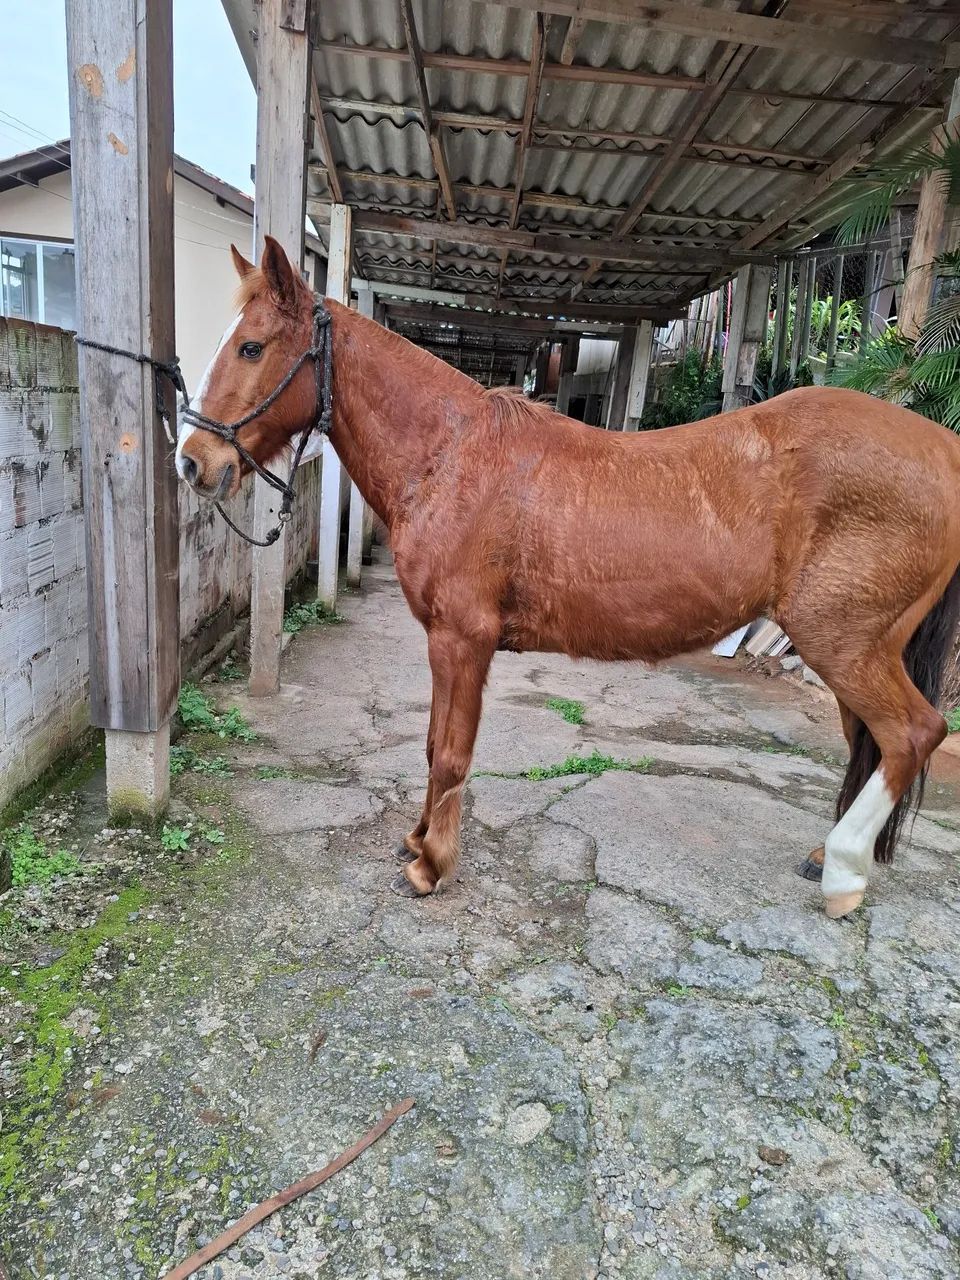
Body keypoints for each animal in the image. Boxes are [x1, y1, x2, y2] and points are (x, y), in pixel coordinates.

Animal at [176, 236, 960, 920]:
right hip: (857, 648)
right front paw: (416, 838)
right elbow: (430, 745)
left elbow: (451, 754)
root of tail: (942, 448)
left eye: (251, 346)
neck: (451, 455)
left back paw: (844, 876)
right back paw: (826, 855)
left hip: (843, 643)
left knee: (913, 733)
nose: (191, 462)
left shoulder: (463, 640)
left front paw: (433, 864)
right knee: (870, 744)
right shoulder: (445, 642)